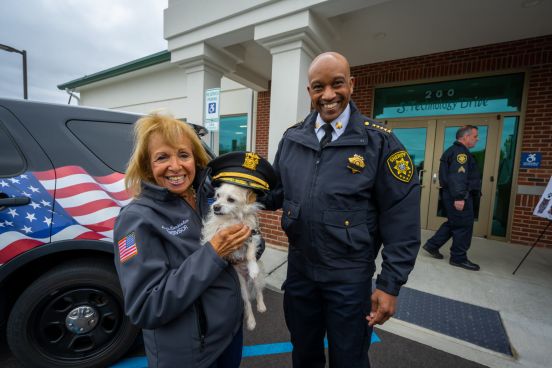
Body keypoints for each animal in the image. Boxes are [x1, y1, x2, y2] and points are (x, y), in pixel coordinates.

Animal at [201, 183, 268, 330]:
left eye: (231, 200)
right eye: (217, 196)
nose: (215, 206)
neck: (231, 219)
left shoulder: (252, 234)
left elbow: (250, 253)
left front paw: (252, 267)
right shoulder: (215, 232)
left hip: (257, 280)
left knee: (258, 291)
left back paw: (261, 306)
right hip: (242, 288)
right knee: (247, 303)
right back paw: (251, 322)